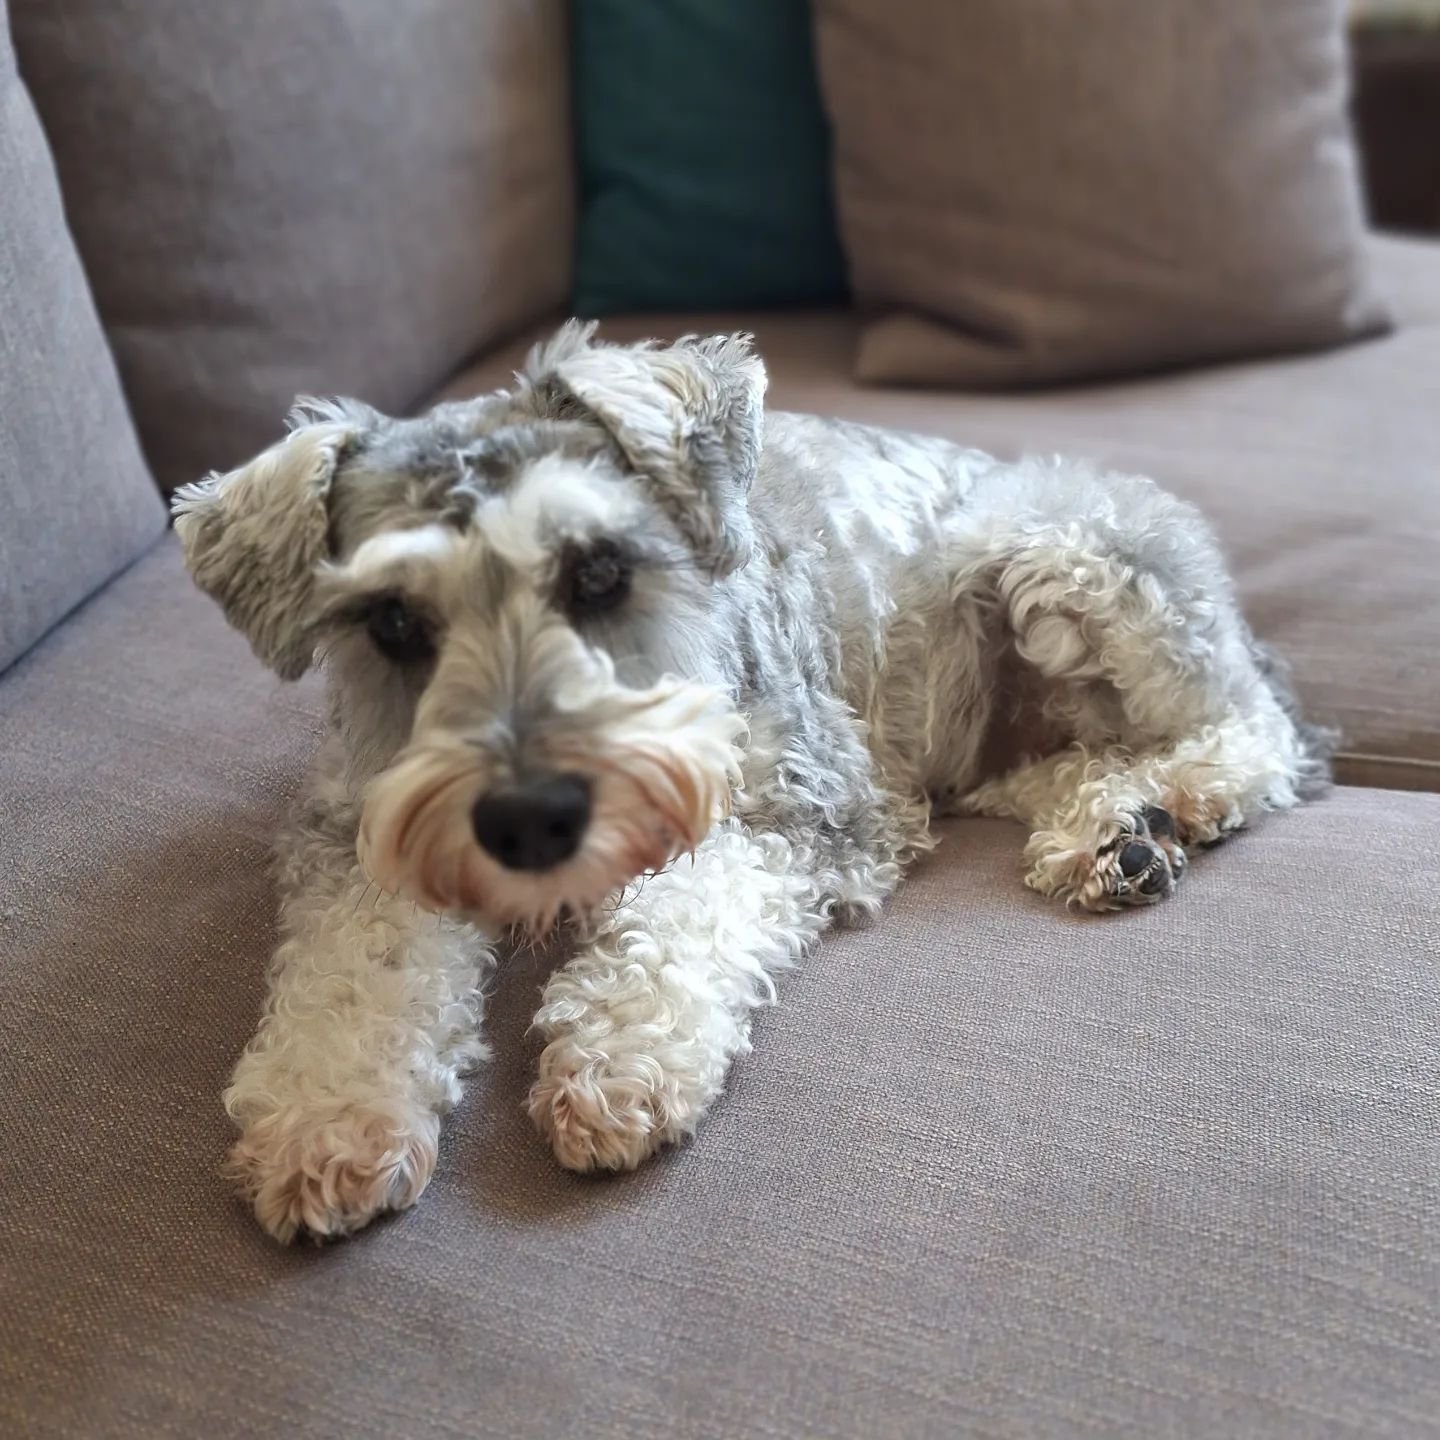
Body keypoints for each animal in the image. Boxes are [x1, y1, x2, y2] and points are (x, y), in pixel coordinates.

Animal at [168, 321, 1324, 1244]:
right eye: (393, 622)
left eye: (599, 569)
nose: (531, 818)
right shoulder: (356, 830)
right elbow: (356, 964)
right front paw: (327, 1124)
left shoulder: (803, 807)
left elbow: (684, 909)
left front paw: (620, 1065)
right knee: (1057, 767)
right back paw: (1114, 831)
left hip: (1064, 554)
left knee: (1257, 727)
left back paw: (1163, 806)